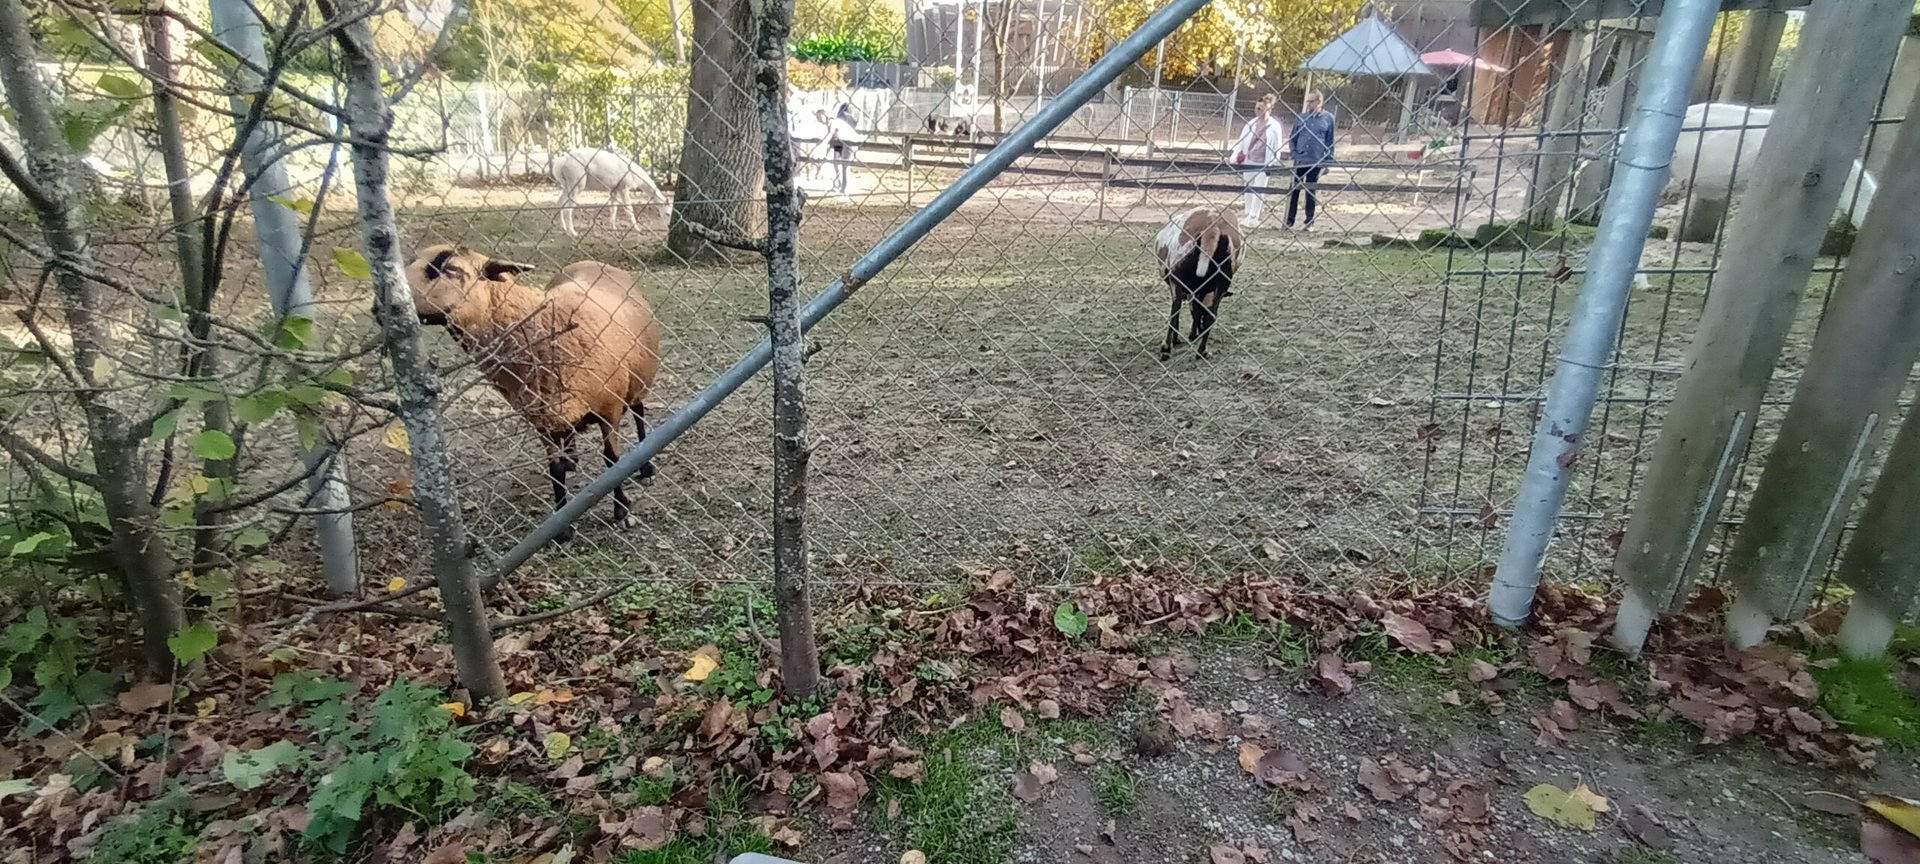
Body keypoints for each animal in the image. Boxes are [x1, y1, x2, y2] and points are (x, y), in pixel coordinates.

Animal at [405, 244, 664, 542]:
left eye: (452, 269)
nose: (382, 307)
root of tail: (594, 262)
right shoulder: (540, 418)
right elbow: (555, 470)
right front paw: (562, 526)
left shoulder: (609, 409)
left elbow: (612, 462)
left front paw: (622, 511)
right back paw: (572, 457)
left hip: (637, 380)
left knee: (639, 412)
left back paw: (646, 468)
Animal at [1155, 206, 1245, 361]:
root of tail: (1213, 226)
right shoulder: (1202, 291)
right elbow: (1197, 310)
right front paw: (1194, 335)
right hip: (1222, 283)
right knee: (1212, 315)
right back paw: (1202, 350)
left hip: (1177, 276)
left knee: (1176, 307)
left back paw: (1166, 348)